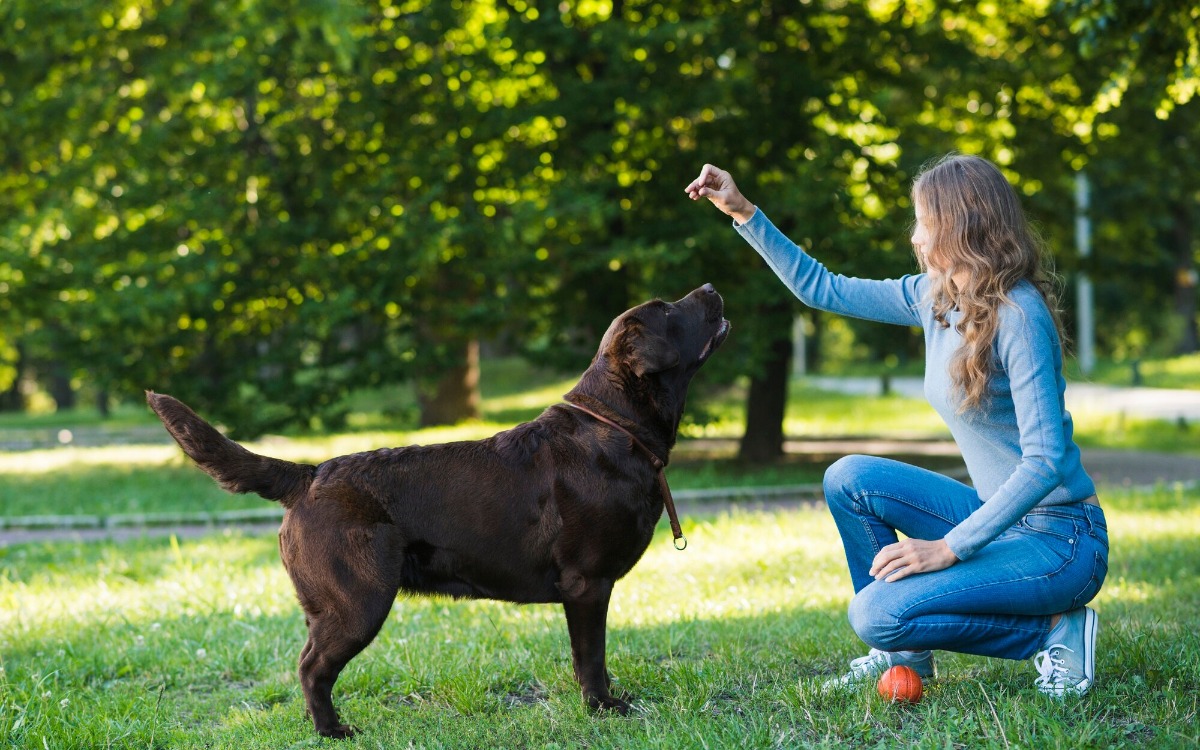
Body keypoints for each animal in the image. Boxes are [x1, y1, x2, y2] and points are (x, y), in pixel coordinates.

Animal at [150, 282, 729, 739]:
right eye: (668, 309)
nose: (709, 287)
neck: (615, 426)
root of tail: (309, 474)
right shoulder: (586, 583)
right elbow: (591, 656)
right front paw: (603, 708)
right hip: (357, 601)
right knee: (312, 668)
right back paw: (333, 731)